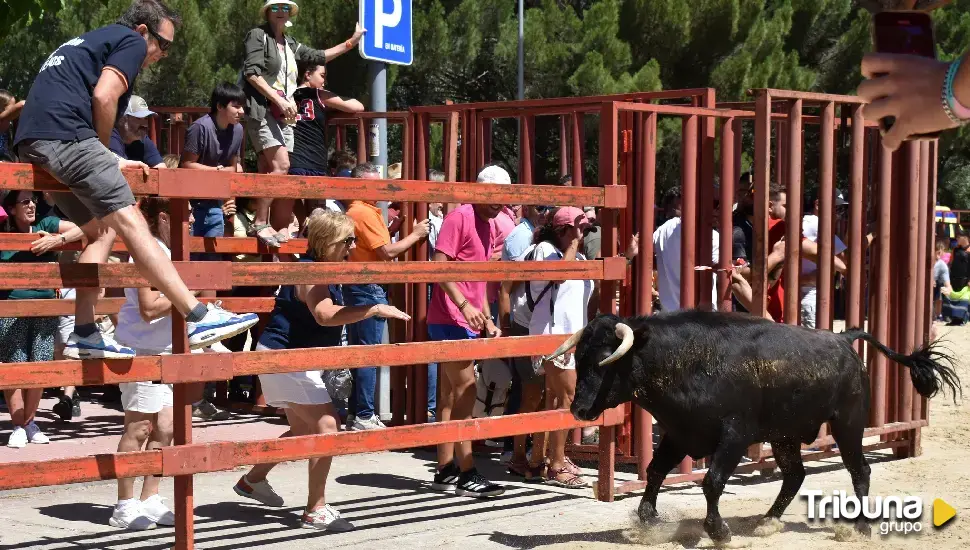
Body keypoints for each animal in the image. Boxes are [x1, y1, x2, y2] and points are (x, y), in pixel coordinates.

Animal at [544, 312, 960, 544]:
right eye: (579, 357)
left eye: (605, 360)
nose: (579, 409)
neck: (688, 362)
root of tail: (844, 337)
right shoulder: (679, 433)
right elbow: (655, 471)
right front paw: (648, 521)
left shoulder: (735, 437)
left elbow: (711, 481)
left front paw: (719, 532)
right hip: (785, 436)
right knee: (795, 475)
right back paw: (767, 522)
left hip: (848, 424)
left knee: (860, 471)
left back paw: (859, 528)